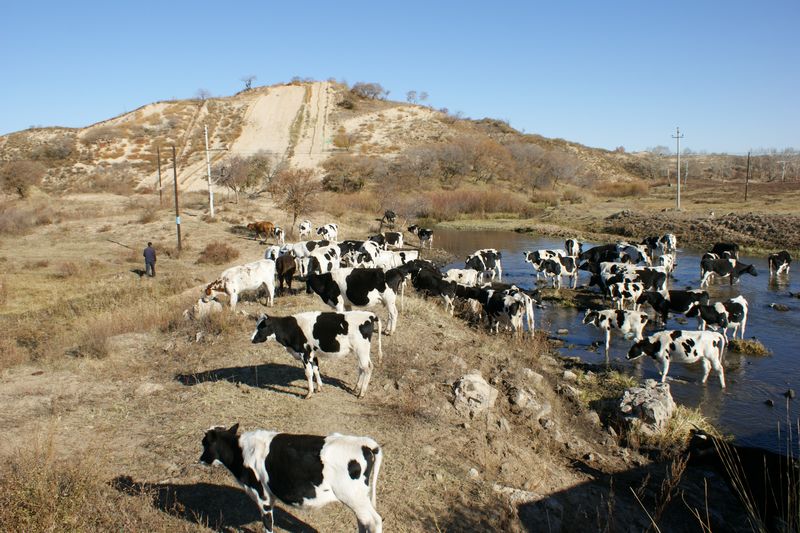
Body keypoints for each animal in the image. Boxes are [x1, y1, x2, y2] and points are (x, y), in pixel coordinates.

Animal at [202, 424, 386, 532]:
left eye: (204, 443)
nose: (201, 459)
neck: (240, 451)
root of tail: (363, 443)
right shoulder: (270, 497)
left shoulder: (262, 497)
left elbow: (267, 524)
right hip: (359, 498)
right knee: (363, 521)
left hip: (353, 496)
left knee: (373, 521)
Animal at [253, 310, 384, 396]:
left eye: (262, 327)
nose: (252, 339)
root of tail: (370, 315)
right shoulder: (313, 354)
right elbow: (316, 369)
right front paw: (319, 388)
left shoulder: (305, 353)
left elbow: (308, 373)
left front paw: (309, 393)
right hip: (361, 351)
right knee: (363, 367)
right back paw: (356, 388)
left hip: (361, 349)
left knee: (367, 368)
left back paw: (361, 393)